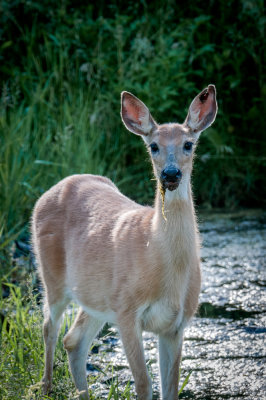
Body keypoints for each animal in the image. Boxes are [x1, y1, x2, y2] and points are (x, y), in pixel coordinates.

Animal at [31, 85, 217, 400]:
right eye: (153, 146)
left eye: (188, 144)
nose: (170, 174)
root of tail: (55, 187)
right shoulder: (127, 311)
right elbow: (143, 384)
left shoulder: (176, 324)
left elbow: (170, 388)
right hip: (52, 276)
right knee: (49, 327)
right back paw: (45, 387)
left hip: (96, 296)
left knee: (74, 340)